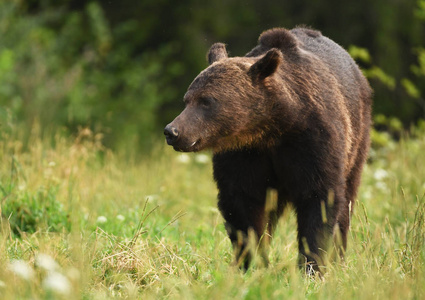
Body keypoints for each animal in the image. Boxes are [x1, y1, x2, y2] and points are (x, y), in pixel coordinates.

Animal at [164, 27, 370, 274]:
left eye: (206, 101)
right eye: (187, 99)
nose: (172, 131)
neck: (271, 128)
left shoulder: (313, 142)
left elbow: (319, 198)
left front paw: (310, 266)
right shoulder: (244, 155)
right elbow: (242, 204)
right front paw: (251, 262)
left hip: (357, 139)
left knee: (347, 198)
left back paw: (338, 256)